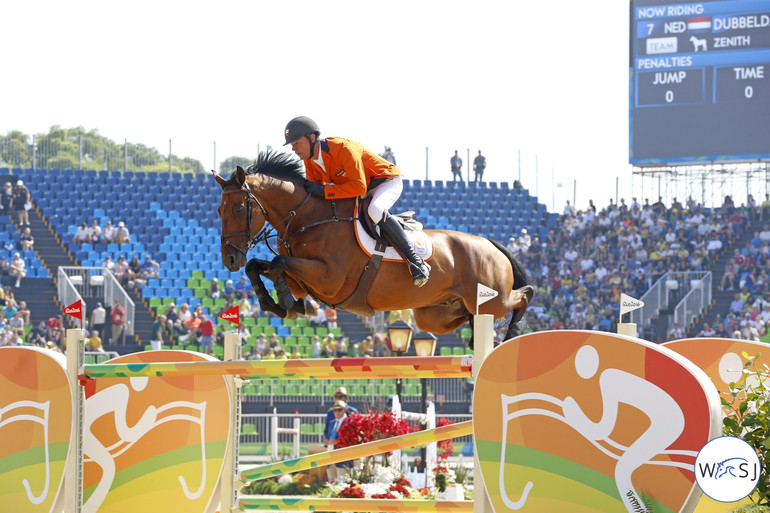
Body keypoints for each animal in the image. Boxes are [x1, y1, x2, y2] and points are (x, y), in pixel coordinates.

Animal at [213, 150, 532, 346]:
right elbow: (259, 266)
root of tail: (490, 244)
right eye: (218, 210)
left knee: (523, 295)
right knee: (469, 316)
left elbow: (278, 262)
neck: (306, 218)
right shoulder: (304, 279)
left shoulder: (329, 280)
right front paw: (278, 304)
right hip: (436, 316)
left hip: (492, 298)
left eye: (239, 208)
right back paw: (479, 338)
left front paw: (289, 305)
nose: (230, 259)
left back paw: (511, 334)